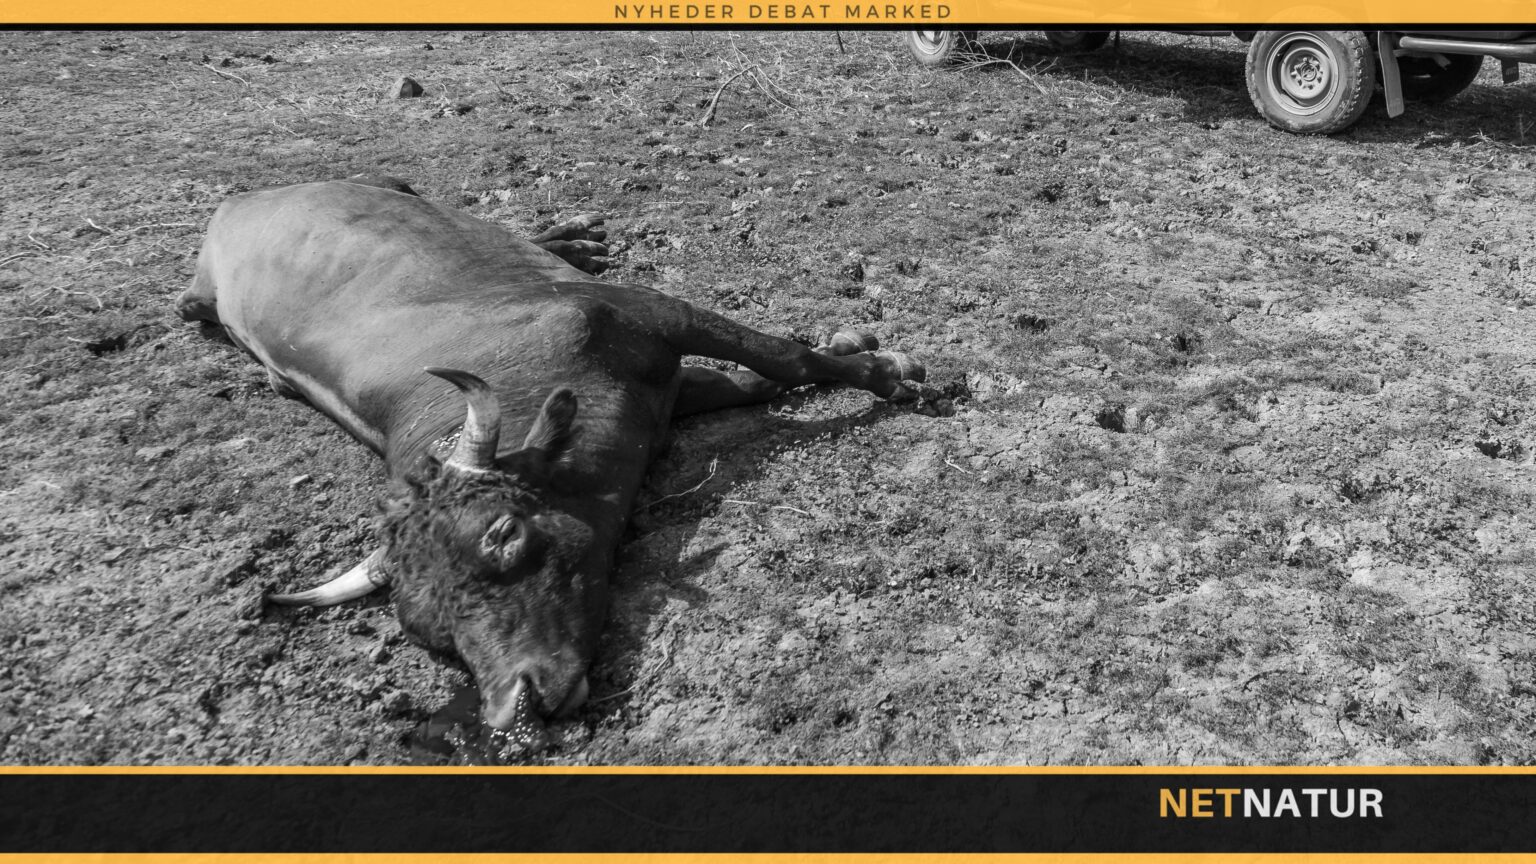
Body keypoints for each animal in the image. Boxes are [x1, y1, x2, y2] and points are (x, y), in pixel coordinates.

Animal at [177, 176, 925, 748]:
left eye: (504, 535)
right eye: (432, 635)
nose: (517, 708)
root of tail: (239, 204)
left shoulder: (655, 312)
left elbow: (782, 357)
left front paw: (887, 373)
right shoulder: (669, 386)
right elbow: (757, 381)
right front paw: (856, 352)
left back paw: (572, 241)